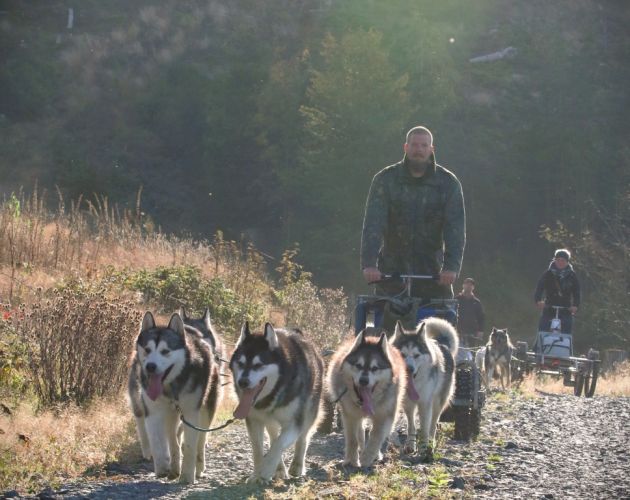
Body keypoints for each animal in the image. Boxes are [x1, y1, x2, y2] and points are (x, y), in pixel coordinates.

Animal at [127, 312, 221, 484]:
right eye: (147, 349)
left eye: (165, 351)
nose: (150, 366)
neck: (171, 387)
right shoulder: (153, 411)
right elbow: (157, 442)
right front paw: (162, 466)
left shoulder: (191, 413)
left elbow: (190, 446)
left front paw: (187, 475)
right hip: (170, 413)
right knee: (172, 439)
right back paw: (174, 467)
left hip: (206, 410)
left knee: (200, 440)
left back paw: (198, 467)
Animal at [230, 322, 324, 482]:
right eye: (241, 363)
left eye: (258, 365)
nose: (242, 382)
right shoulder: (254, 420)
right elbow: (258, 449)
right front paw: (257, 474)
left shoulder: (294, 422)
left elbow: (279, 444)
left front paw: (267, 469)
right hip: (269, 420)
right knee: (273, 436)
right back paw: (279, 468)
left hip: (309, 412)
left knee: (303, 437)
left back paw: (297, 465)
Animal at [328, 330, 408, 466]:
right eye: (358, 365)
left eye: (375, 368)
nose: (363, 381)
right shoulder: (350, 416)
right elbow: (353, 438)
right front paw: (352, 460)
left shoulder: (384, 416)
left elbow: (375, 437)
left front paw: (367, 458)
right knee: (360, 432)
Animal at [392, 318, 456, 458]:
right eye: (402, 354)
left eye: (416, 355)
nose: (409, 369)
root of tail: (443, 345)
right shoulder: (407, 403)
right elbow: (411, 425)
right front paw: (411, 445)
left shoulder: (425, 403)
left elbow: (425, 428)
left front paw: (424, 448)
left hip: (438, 402)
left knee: (433, 424)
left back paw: (431, 444)